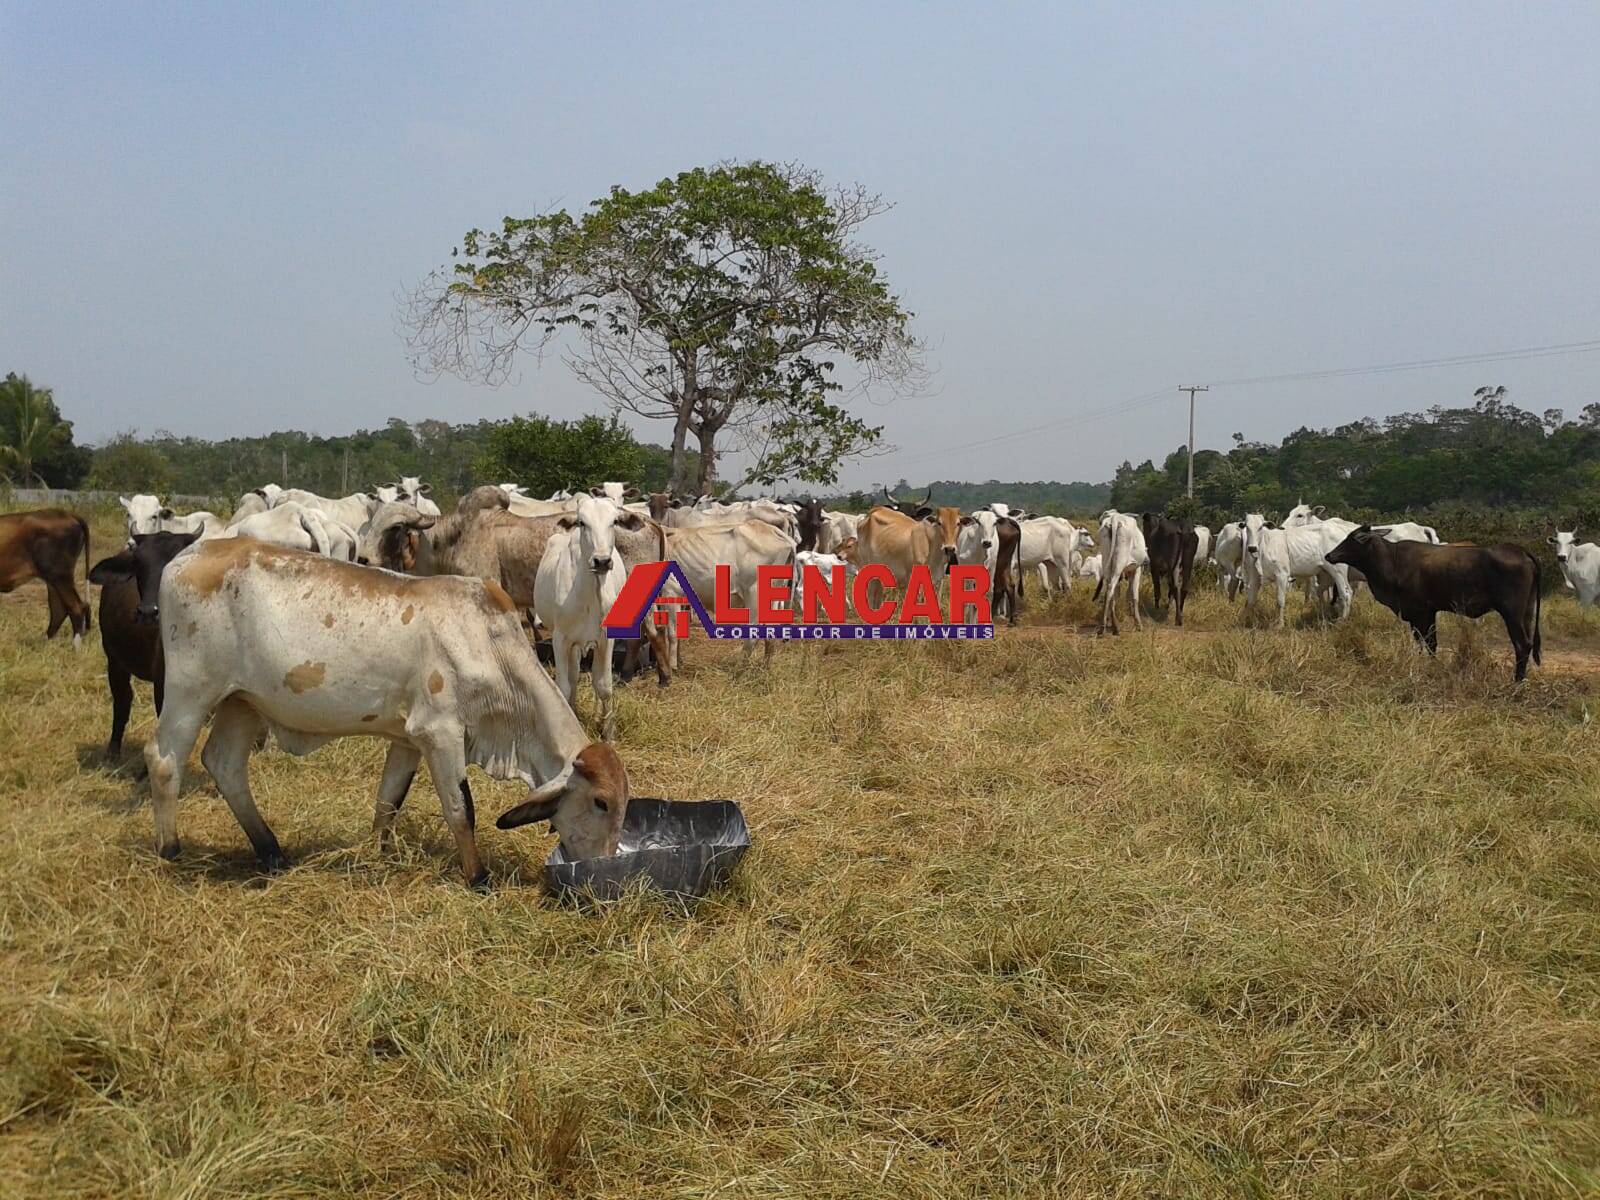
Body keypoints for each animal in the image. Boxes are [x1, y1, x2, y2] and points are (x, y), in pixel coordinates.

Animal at [0, 508, 90, 649]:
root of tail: (66, 513)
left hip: (60, 575)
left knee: (77, 607)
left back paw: (75, 648)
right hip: (53, 579)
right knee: (59, 610)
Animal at [87, 531, 201, 755]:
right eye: (138, 564)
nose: (148, 612)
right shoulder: (163, 683)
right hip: (114, 661)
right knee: (122, 701)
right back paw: (113, 750)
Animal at [142, 540, 630, 889]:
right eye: (600, 802)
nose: (602, 866)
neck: (491, 647)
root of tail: (187, 555)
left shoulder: (407, 740)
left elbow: (388, 802)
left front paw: (379, 855)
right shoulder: (440, 733)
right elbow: (461, 809)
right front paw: (478, 877)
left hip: (242, 702)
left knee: (224, 764)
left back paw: (272, 851)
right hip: (191, 691)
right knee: (164, 759)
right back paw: (171, 849)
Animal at [531, 492, 643, 739]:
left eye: (614, 521)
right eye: (582, 523)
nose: (601, 561)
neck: (590, 595)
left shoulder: (606, 638)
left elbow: (603, 685)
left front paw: (609, 733)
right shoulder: (560, 639)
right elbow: (564, 686)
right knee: (573, 677)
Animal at [1318, 528, 1542, 681]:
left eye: (1353, 539)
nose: (1329, 555)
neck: (1393, 561)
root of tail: (1521, 551)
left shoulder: (1418, 612)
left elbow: (1423, 641)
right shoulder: (1429, 611)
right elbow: (1431, 643)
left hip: (1512, 613)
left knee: (1522, 645)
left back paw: (1516, 681)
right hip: (1527, 613)